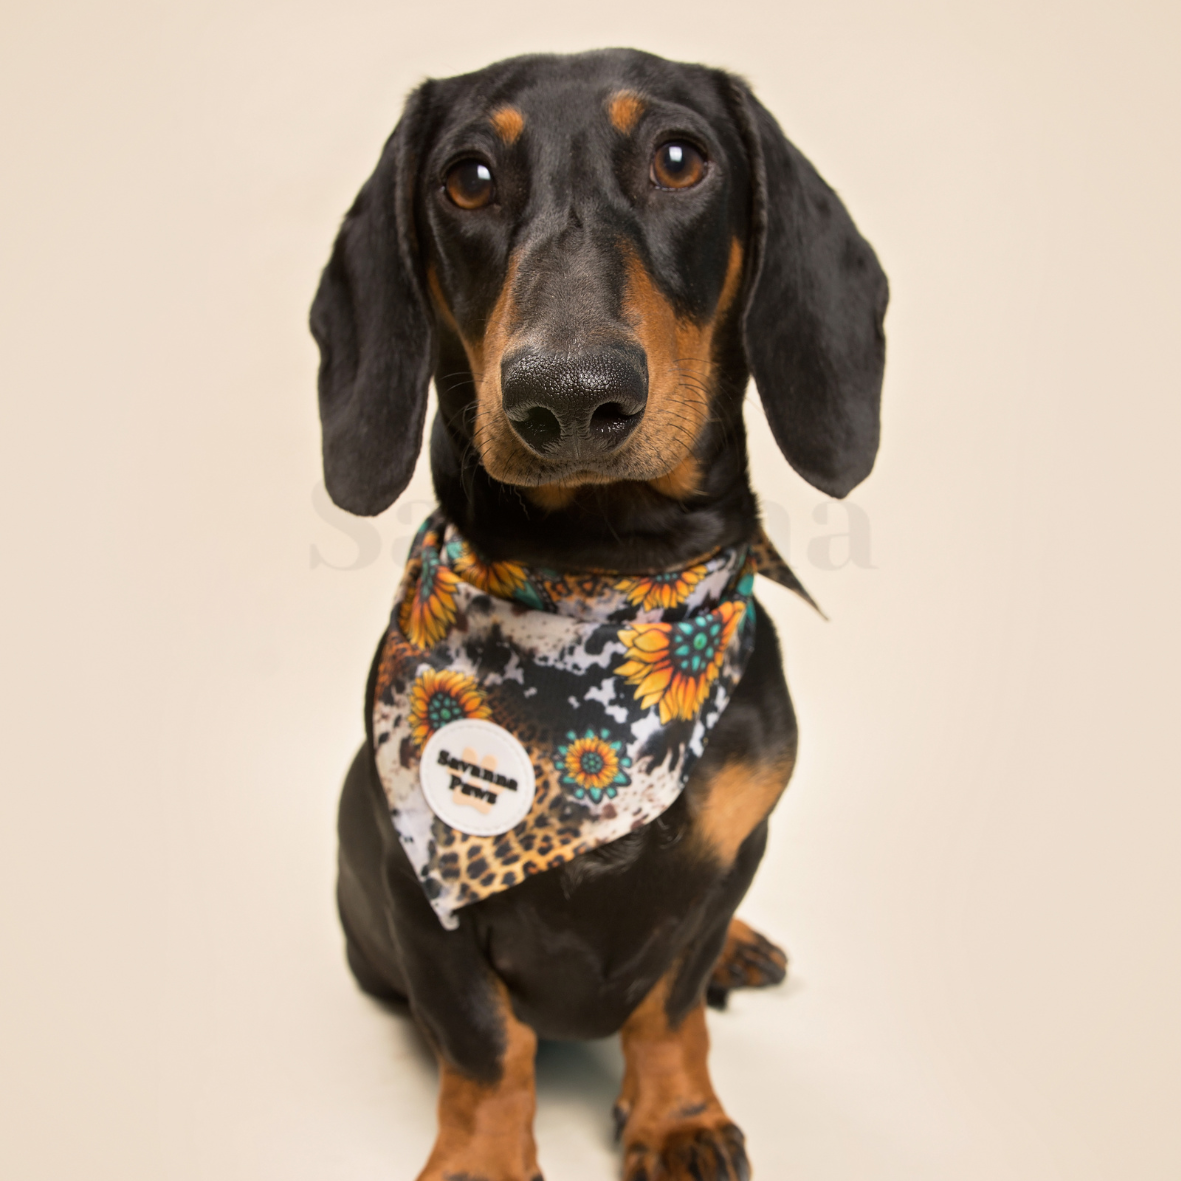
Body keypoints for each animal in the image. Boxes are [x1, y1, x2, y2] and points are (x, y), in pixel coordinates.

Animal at [314, 46, 888, 1181]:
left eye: (678, 157)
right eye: (468, 178)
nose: (570, 397)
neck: (609, 584)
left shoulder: (726, 859)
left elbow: (669, 1002)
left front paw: (677, 1117)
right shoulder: (420, 886)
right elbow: (487, 1042)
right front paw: (483, 1159)